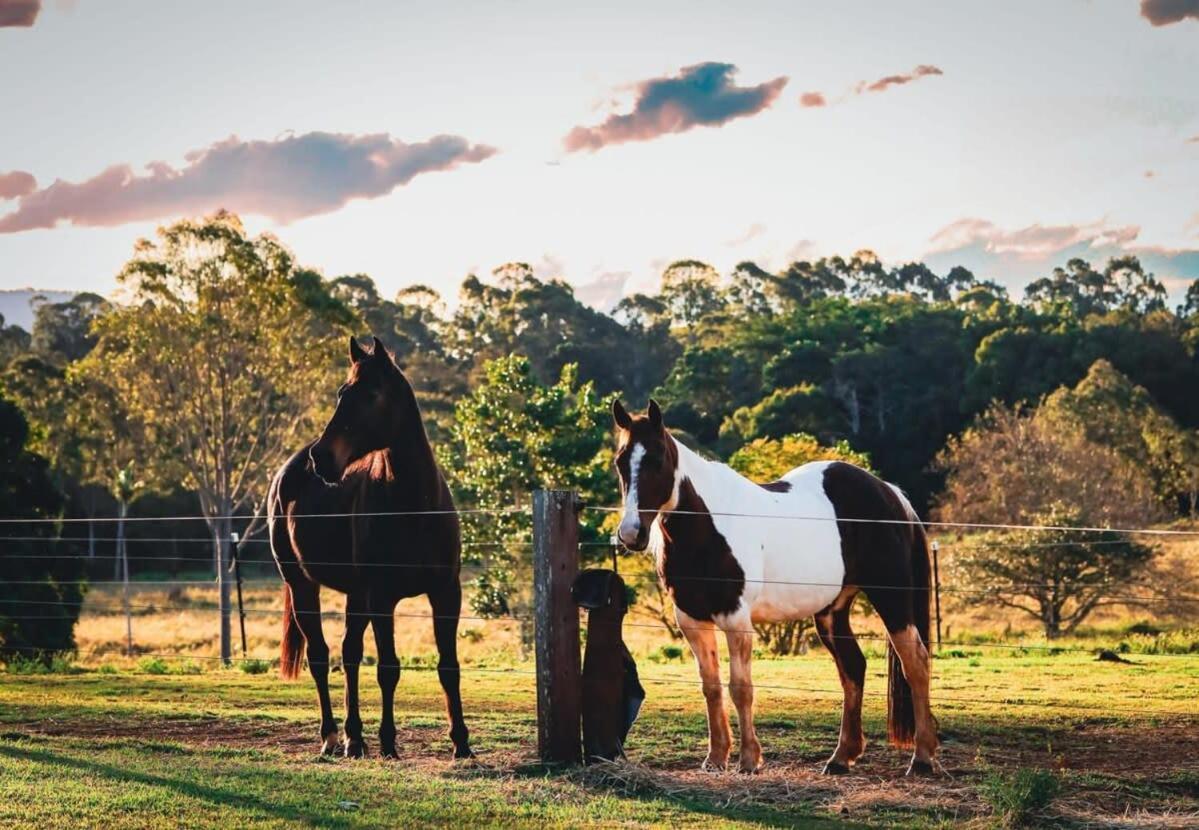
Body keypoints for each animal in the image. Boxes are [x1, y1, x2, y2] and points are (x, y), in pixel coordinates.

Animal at [269, 335, 470, 758]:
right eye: (342, 393)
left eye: (372, 394)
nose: (321, 457)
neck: (415, 506)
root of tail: (286, 472)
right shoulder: (382, 598)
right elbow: (388, 668)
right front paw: (390, 742)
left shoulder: (446, 592)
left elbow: (448, 665)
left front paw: (461, 741)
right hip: (302, 585)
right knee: (319, 656)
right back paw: (331, 736)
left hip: (354, 595)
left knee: (348, 654)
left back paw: (354, 737)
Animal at [618, 398, 935, 777]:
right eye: (621, 462)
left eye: (656, 460)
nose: (631, 533)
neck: (706, 526)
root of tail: (891, 493)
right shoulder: (692, 619)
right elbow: (711, 687)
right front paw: (716, 758)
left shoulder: (736, 619)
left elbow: (740, 687)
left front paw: (748, 760)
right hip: (831, 612)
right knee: (853, 667)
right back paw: (841, 757)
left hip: (892, 599)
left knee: (915, 663)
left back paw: (923, 758)